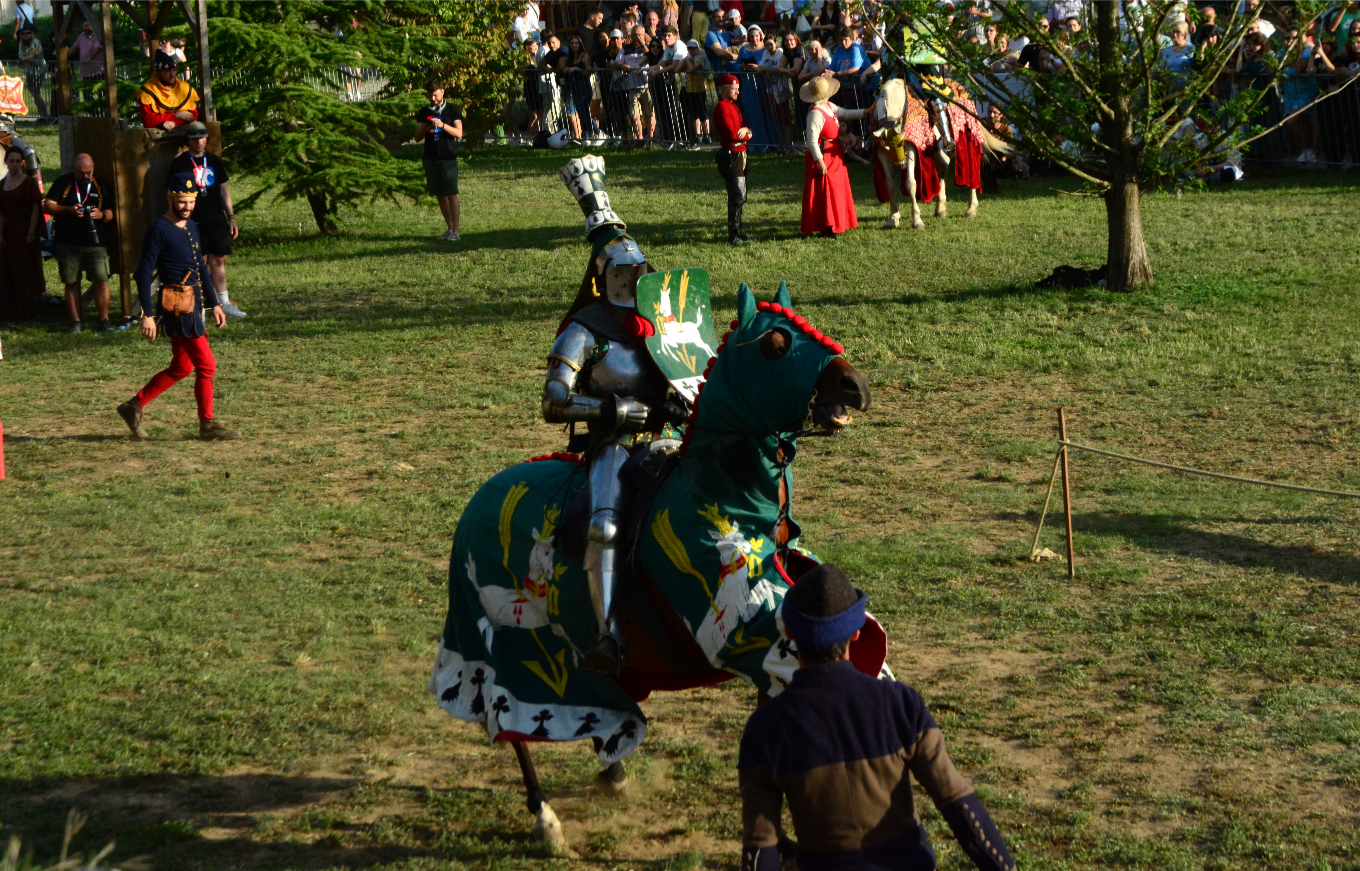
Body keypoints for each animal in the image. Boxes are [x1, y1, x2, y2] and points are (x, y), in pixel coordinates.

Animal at [429, 283, 886, 849]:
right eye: (775, 344)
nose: (854, 386)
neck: (724, 494)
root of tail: (477, 501)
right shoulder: (747, 635)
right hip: (502, 652)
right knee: (512, 722)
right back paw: (544, 815)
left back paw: (612, 772)